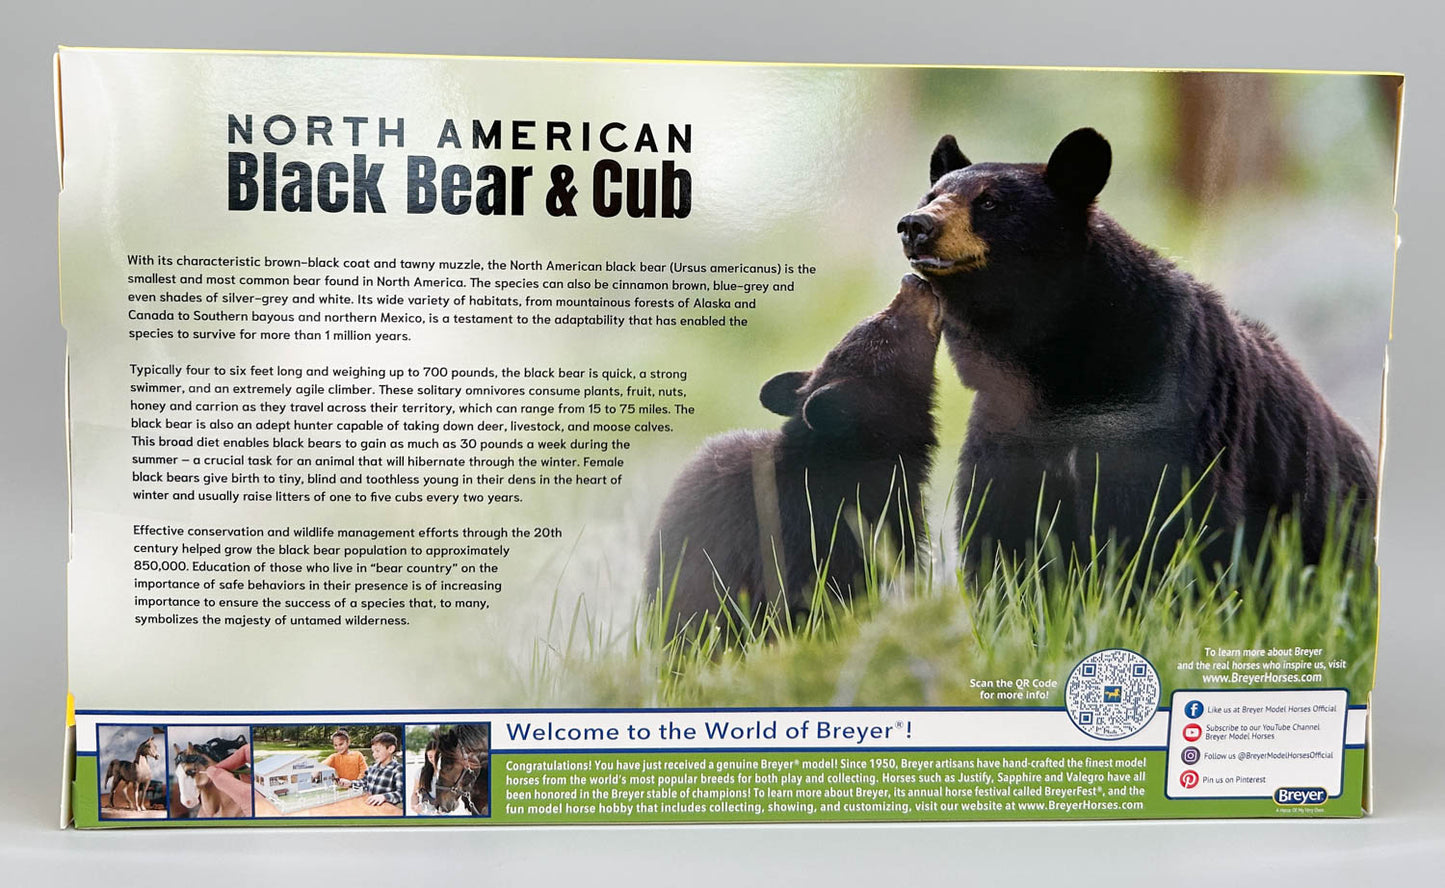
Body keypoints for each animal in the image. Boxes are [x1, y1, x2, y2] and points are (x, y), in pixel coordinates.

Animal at [896, 127, 1376, 573]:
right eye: (932, 195)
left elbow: (1168, 524)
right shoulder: (1005, 424)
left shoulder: (1169, 412)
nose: (915, 225)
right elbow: (1002, 528)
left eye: (991, 203)